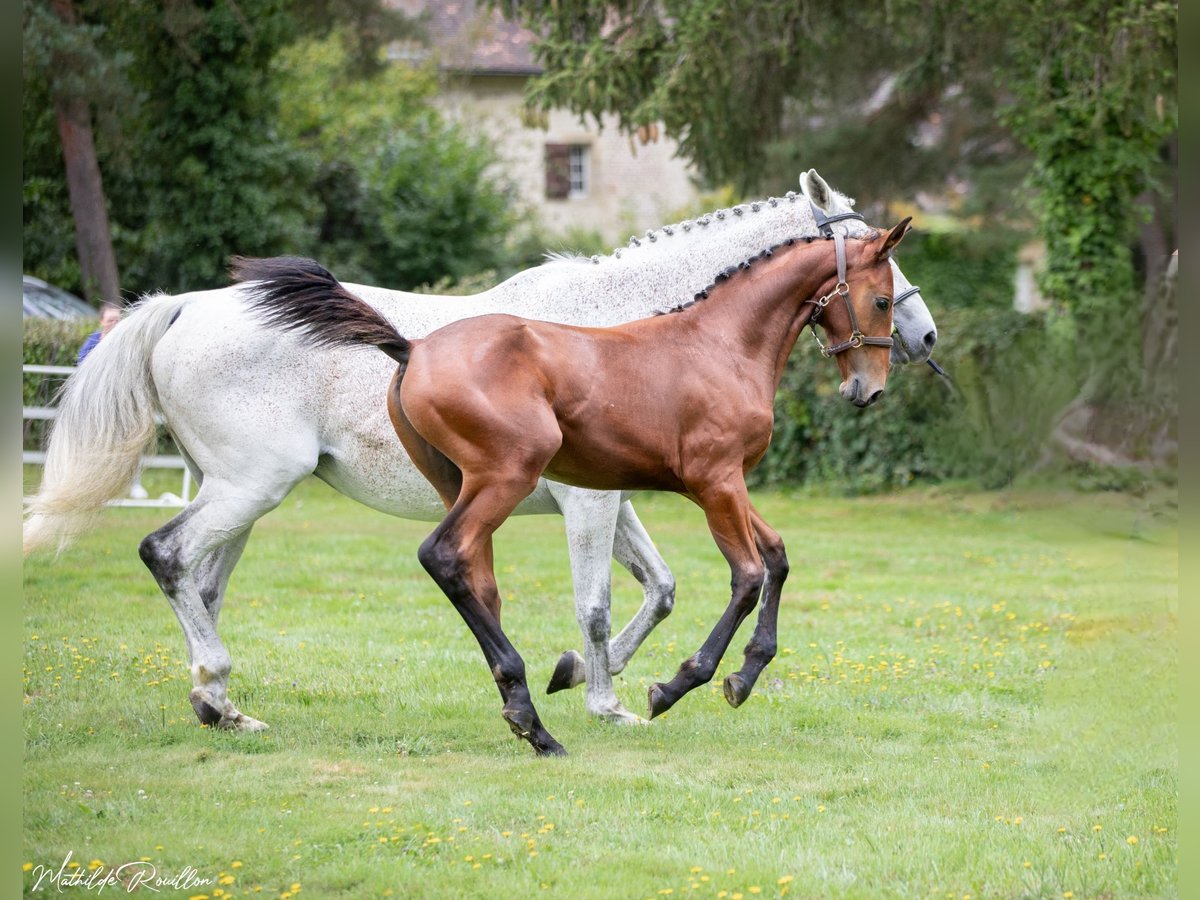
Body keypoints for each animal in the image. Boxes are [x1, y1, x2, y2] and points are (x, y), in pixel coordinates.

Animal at [236, 222, 907, 758]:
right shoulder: (714, 480)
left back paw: (525, 716)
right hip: (507, 476)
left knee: (476, 579)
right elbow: (746, 575)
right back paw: (537, 723)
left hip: (459, 483)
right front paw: (675, 685)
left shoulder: (726, 484)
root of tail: (414, 346)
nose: (868, 389)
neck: (720, 344)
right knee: (442, 555)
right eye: (882, 298)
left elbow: (777, 557)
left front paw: (744, 676)